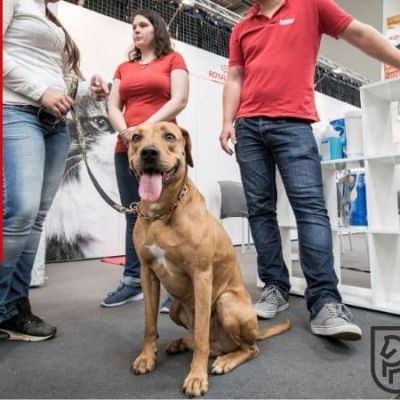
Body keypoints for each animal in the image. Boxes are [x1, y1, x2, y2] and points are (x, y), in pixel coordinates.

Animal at [128, 122, 290, 396]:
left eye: (169, 136)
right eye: (136, 137)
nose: (149, 152)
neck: (161, 212)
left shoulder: (201, 275)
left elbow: (202, 333)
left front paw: (196, 376)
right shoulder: (147, 273)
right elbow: (150, 324)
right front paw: (147, 357)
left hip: (227, 302)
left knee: (248, 349)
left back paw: (225, 360)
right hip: (175, 307)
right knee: (198, 338)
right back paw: (182, 342)